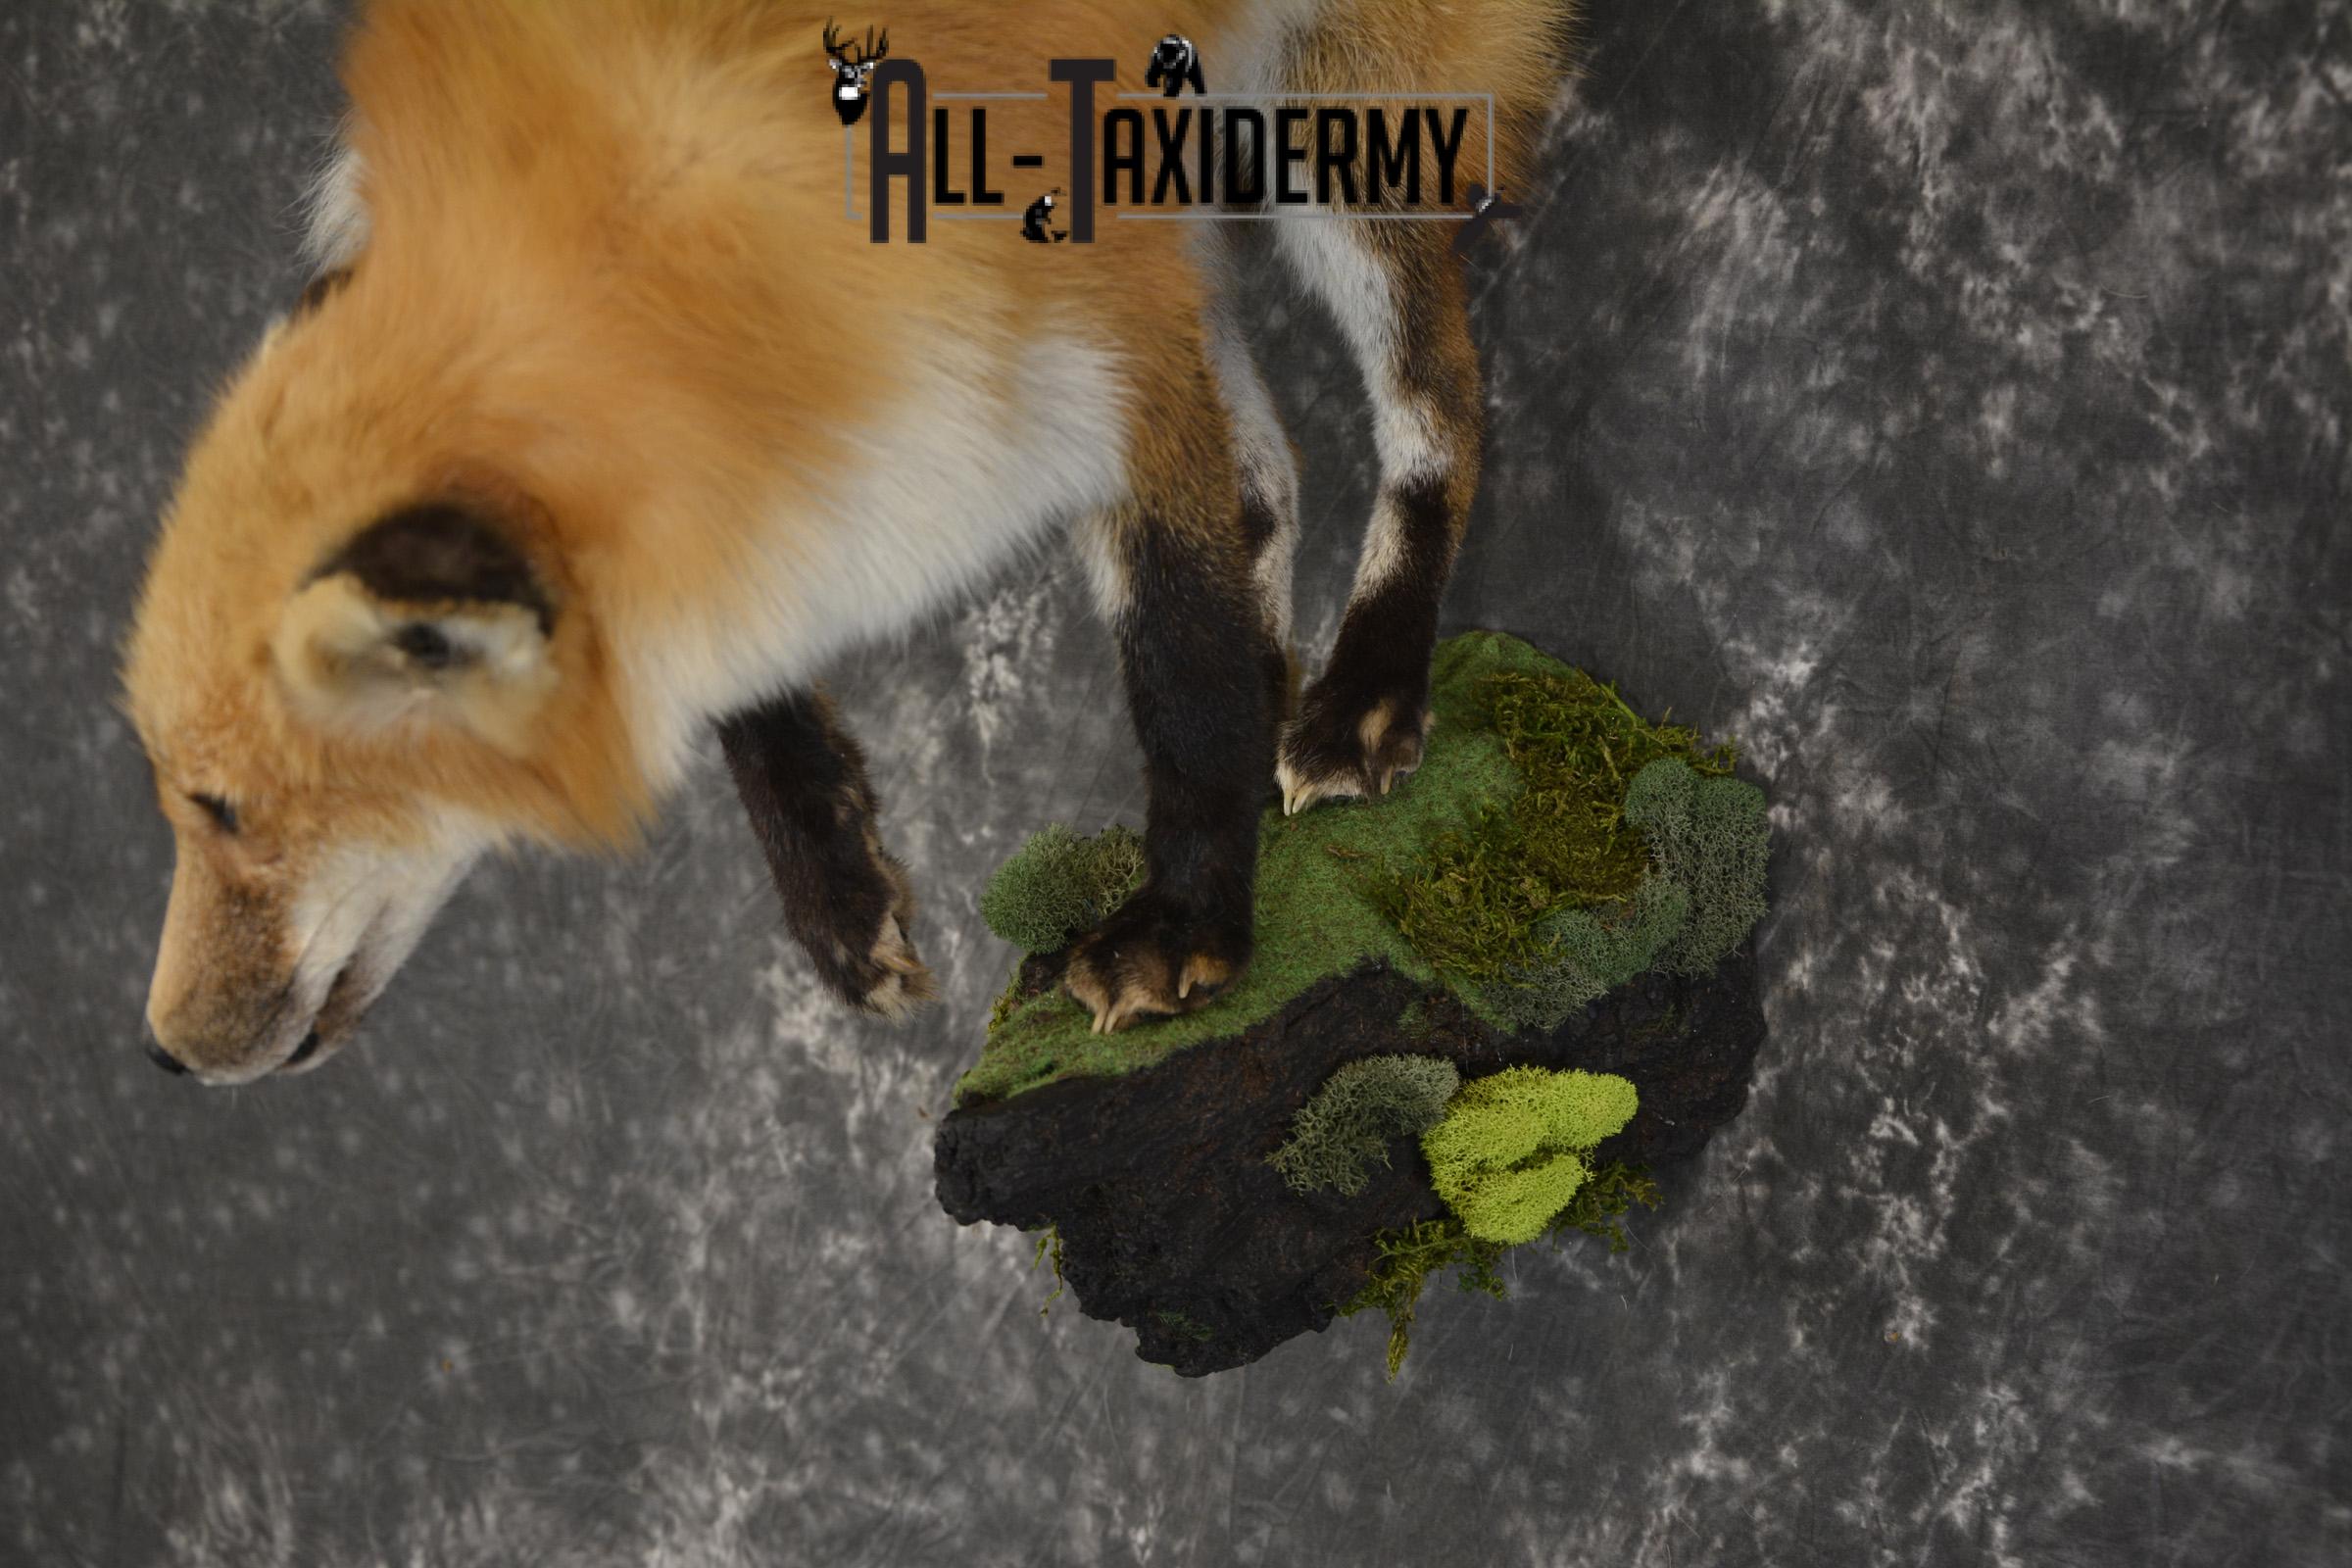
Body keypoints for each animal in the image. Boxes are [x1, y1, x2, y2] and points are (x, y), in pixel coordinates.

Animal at [122, 0, 1579, 1084]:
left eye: (227, 811)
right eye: (185, 806)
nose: (163, 1056)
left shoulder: (1103, 351)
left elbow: (1188, 666)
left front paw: (1189, 925)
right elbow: (746, 678)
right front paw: (834, 888)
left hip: (1331, 129)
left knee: (1442, 405)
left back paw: (1365, 692)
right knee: (1275, 477)